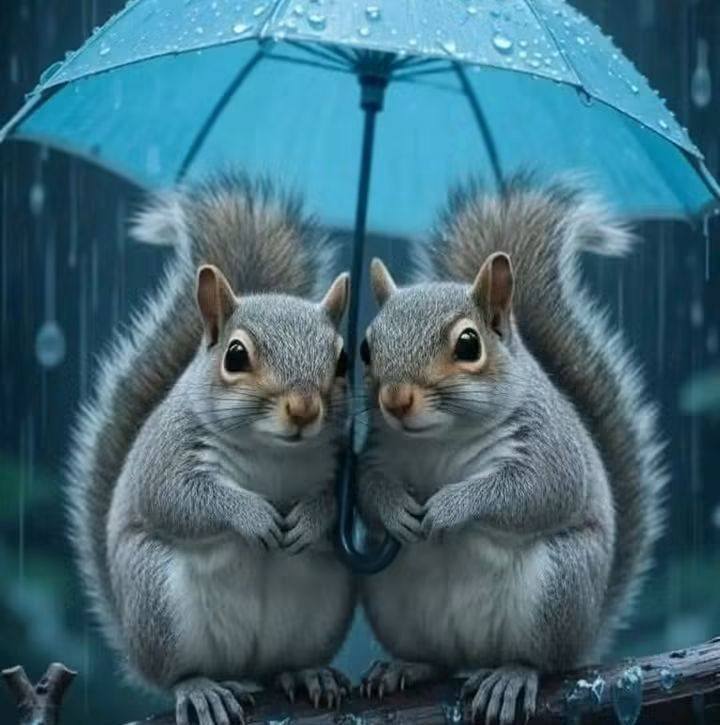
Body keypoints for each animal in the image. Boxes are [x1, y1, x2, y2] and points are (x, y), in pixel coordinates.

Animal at [67, 173, 355, 725]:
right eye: (235, 356)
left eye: (343, 358)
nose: (304, 409)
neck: (275, 451)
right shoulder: (169, 455)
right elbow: (179, 499)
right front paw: (252, 515)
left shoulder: (345, 457)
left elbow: (349, 507)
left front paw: (310, 517)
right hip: (158, 602)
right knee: (176, 673)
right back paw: (200, 689)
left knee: (282, 665)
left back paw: (307, 673)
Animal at [357, 175, 666, 724]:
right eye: (366, 348)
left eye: (468, 345)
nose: (394, 400)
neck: (438, 439)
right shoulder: (377, 449)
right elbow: (365, 485)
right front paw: (395, 508)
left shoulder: (547, 446)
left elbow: (533, 492)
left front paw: (450, 506)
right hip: (390, 601)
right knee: (436, 659)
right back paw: (405, 666)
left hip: (559, 586)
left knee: (542, 660)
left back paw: (511, 676)